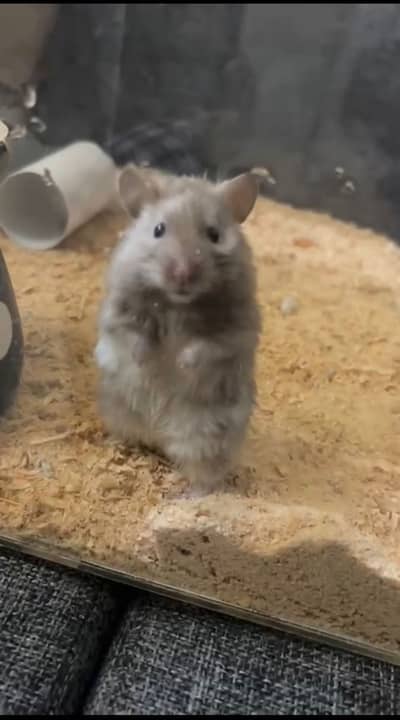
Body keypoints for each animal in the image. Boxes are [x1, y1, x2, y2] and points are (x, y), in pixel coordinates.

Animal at [95, 167, 261, 496]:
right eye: (158, 229)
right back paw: (120, 450)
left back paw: (188, 494)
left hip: (205, 438)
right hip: (118, 409)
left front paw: (182, 363)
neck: (177, 304)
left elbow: (206, 347)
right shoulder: (119, 312)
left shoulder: (236, 332)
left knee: (204, 474)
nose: (182, 275)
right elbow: (135, 335)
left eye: (214, 234)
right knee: (131, 438)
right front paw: (144, 359)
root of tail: (158, 434)